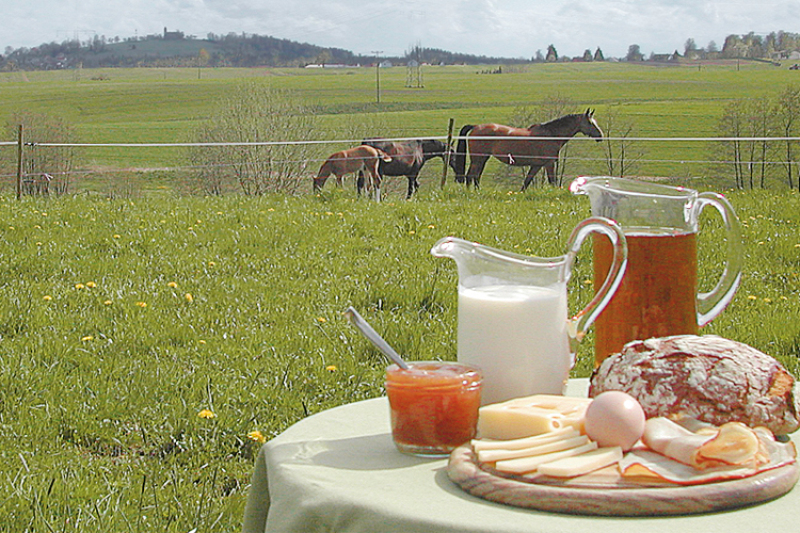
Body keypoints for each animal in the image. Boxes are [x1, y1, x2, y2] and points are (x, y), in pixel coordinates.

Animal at [454, 108, 604, 189]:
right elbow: (553, 181)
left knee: (476, 177)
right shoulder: (549, 164)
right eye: (590, 122)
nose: (600, 136)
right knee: (470, 176)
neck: (550, 134)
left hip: (482, 159)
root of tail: (476, 127)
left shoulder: (536, 165)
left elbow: (526, 182)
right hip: (477, 159)